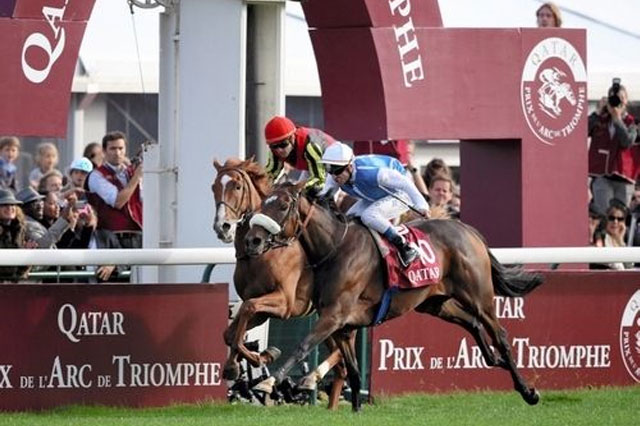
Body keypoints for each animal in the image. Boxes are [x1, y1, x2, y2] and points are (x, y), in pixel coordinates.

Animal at [211, 158, 347, 408]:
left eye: (237, 186)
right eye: (213, 187)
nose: (222, 226)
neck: (261, 253)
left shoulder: (283, 303)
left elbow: (246, 311)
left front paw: (262, 358)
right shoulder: (262, 308)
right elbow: (231, 333)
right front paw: (244, 363)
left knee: (340, 356)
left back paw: (312, 378)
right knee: (341, 366)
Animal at [244, 182, 544, 412]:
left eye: (283, 205)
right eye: (262, 204)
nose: (253, 240)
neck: (335, 248)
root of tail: (467, 230)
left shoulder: (334, 316)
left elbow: (303, 346)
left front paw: (270, 382)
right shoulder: (343, 326)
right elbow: (354, 371)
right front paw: (356, 410)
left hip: (479, 297)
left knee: (499, 334)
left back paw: (527, 390)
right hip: (435, 304)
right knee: (472, 323)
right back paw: (495, 360)